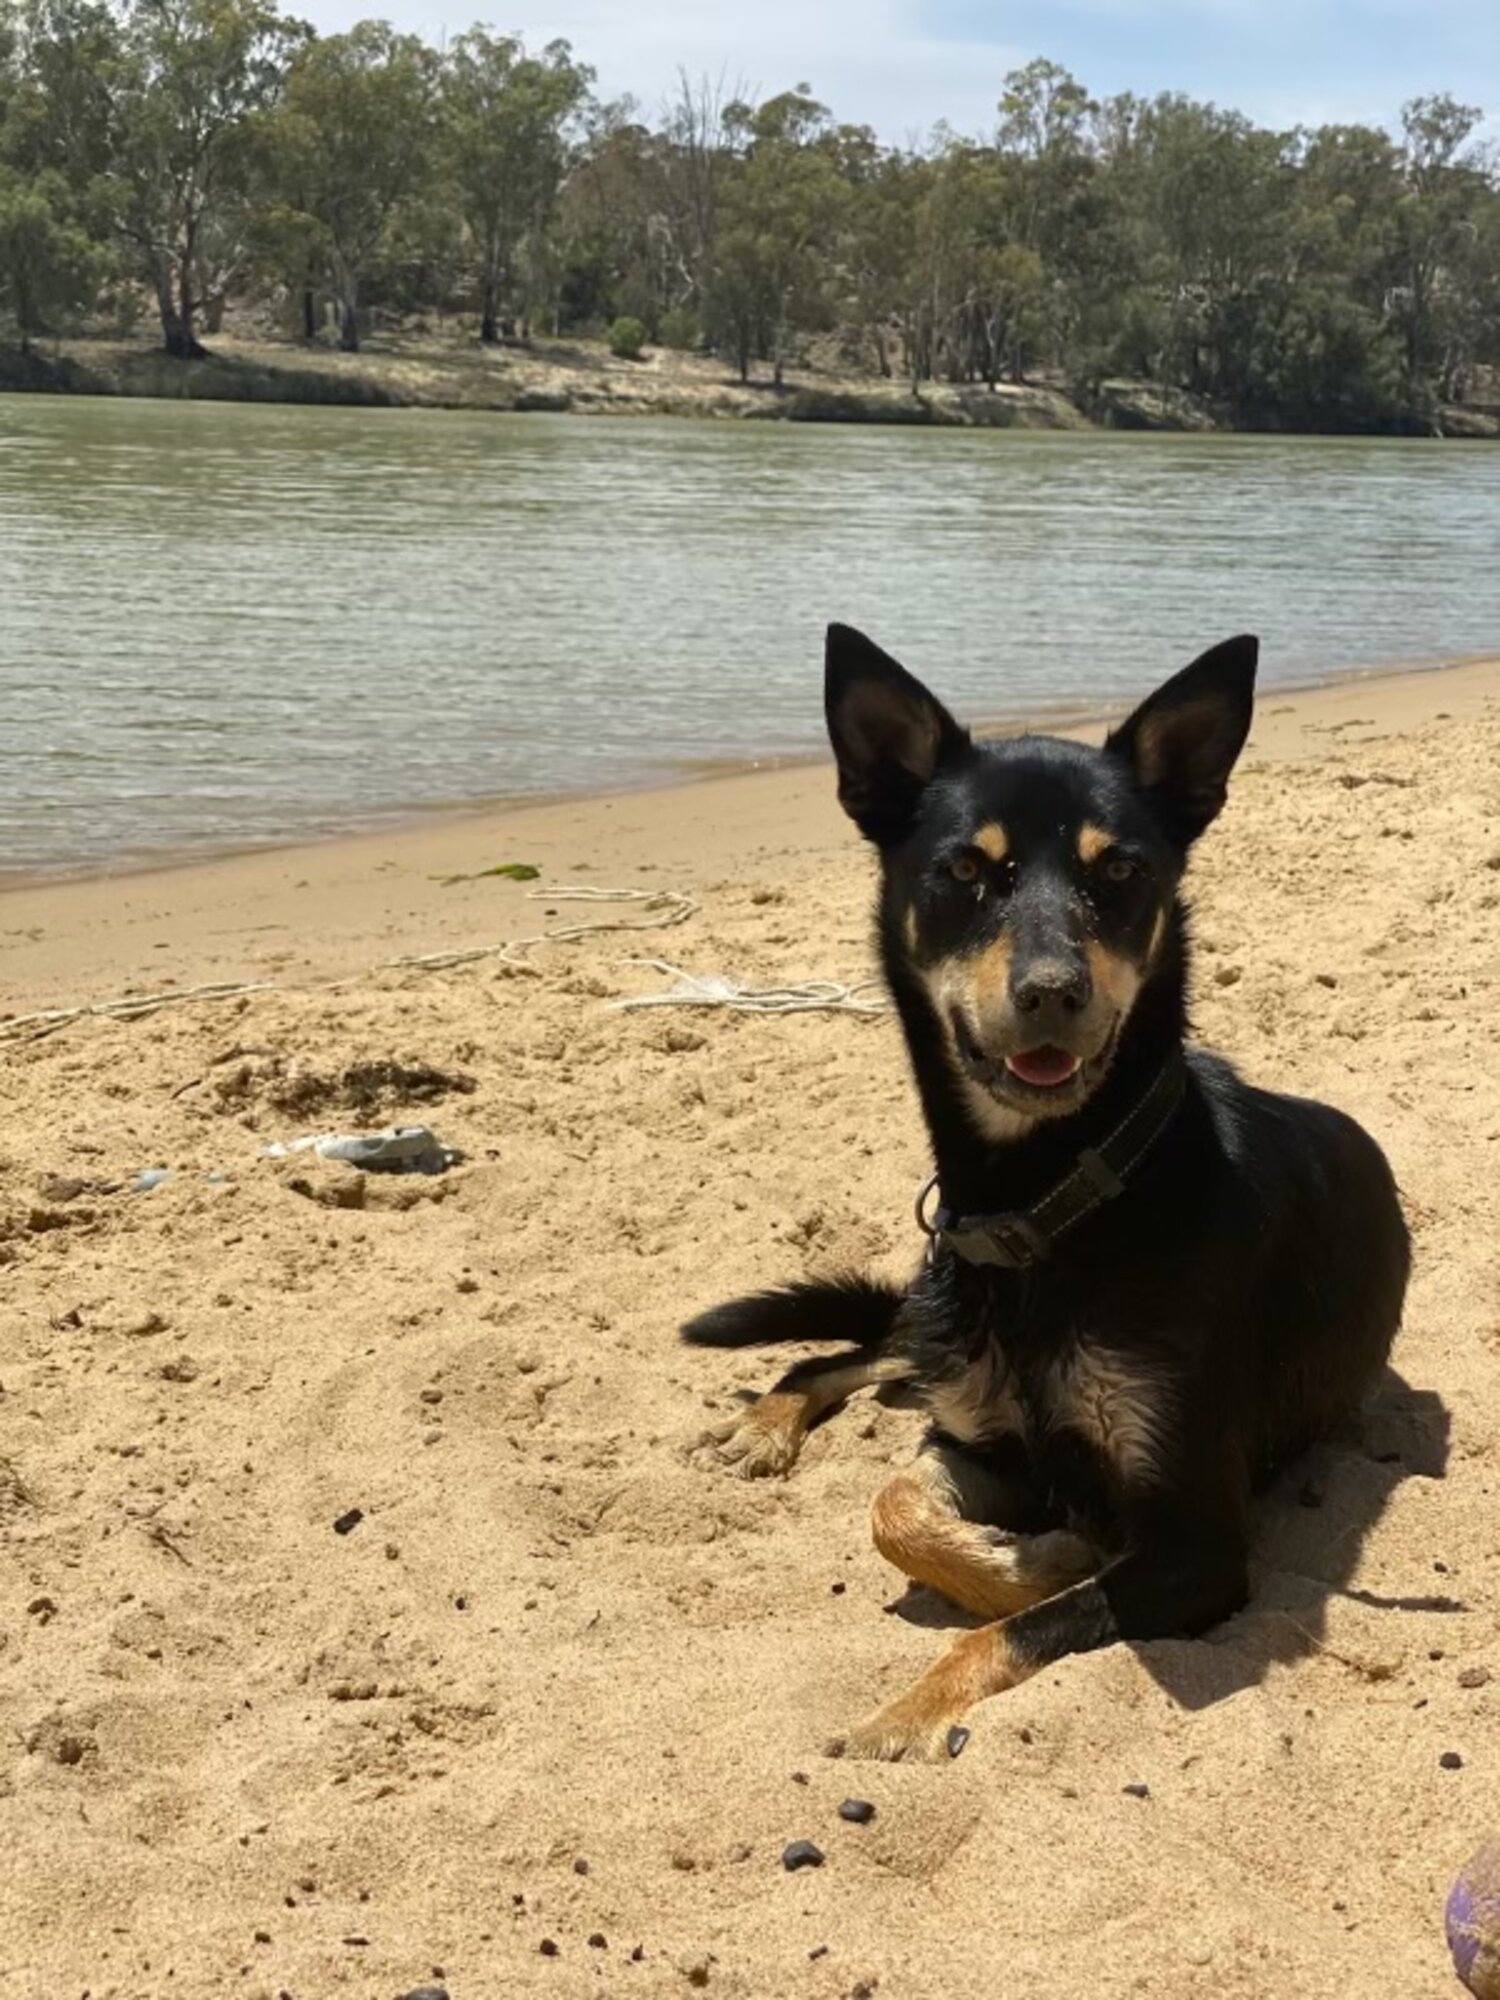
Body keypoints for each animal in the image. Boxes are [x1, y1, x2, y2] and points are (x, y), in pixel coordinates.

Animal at [688, 620, 1416, 1752]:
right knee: (859, 1349)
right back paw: (767, 1422)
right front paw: (1029, 1556)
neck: (1048, 1205)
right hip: (938, 1319)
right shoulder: (980, 1434)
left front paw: (912, 1701)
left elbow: (1026, 1615)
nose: (1050, 992)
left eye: (1118, 869)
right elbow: (896, 1504)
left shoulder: (1197, 1540)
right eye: (964, 869)